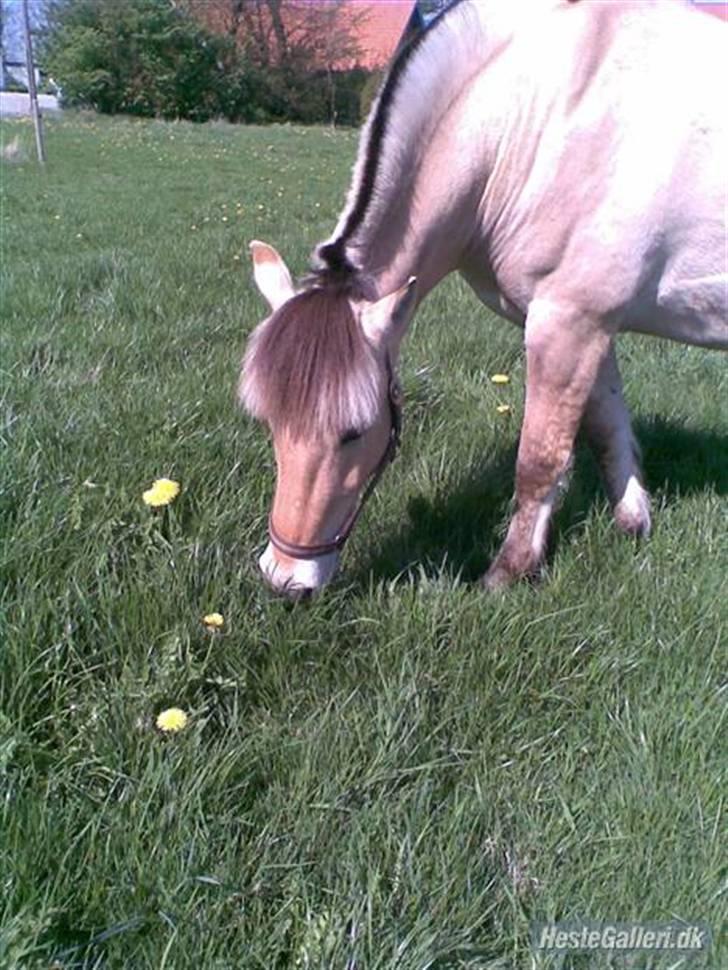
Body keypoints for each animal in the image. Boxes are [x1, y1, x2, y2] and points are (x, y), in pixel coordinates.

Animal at [237, 0, 724, 592]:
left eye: (353, 432)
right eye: (269, 422)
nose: (284, 580)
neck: (542, 117)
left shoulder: (567, 325)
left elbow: (539, 459)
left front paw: (507, 574)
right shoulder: (590, 324)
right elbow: (606, 425)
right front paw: (633, 522)